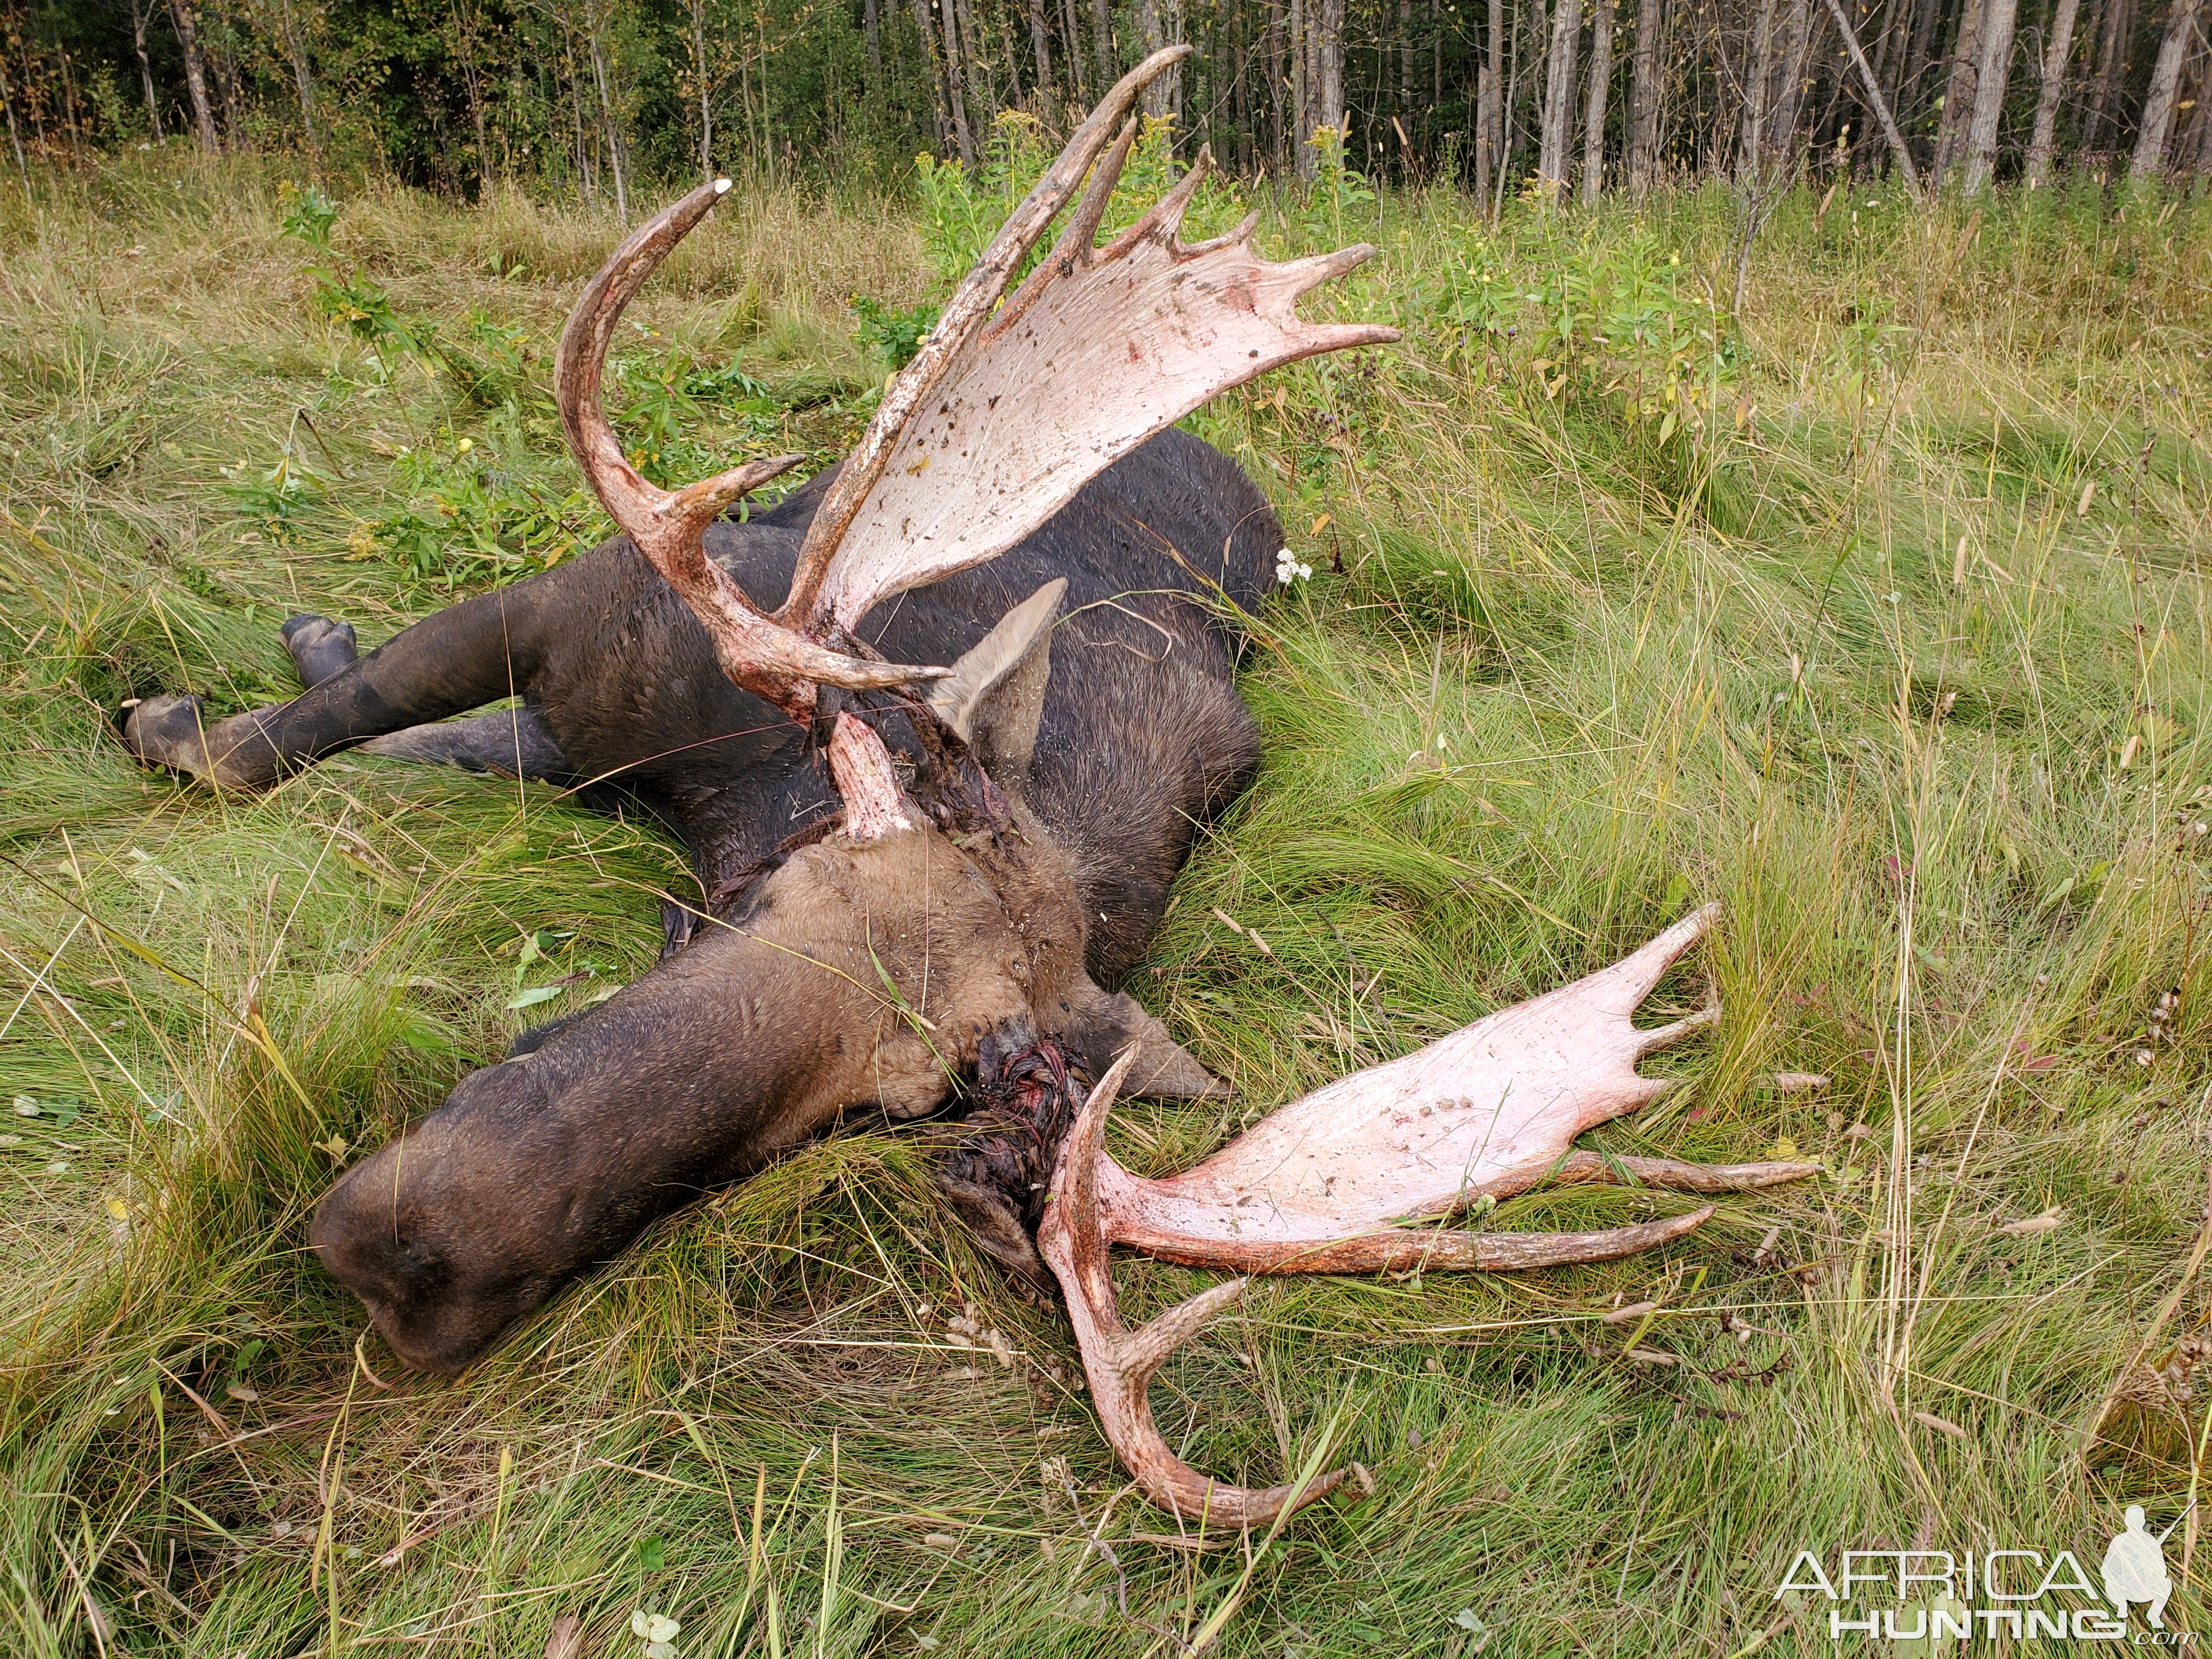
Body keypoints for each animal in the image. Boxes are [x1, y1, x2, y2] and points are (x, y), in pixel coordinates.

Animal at [125, 48, 1814, 1531]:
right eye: (773, 894)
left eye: (894, 1103)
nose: (404, 1251)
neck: (741, 799)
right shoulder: (585, 612)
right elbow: (296, 736)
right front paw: (185, 719)